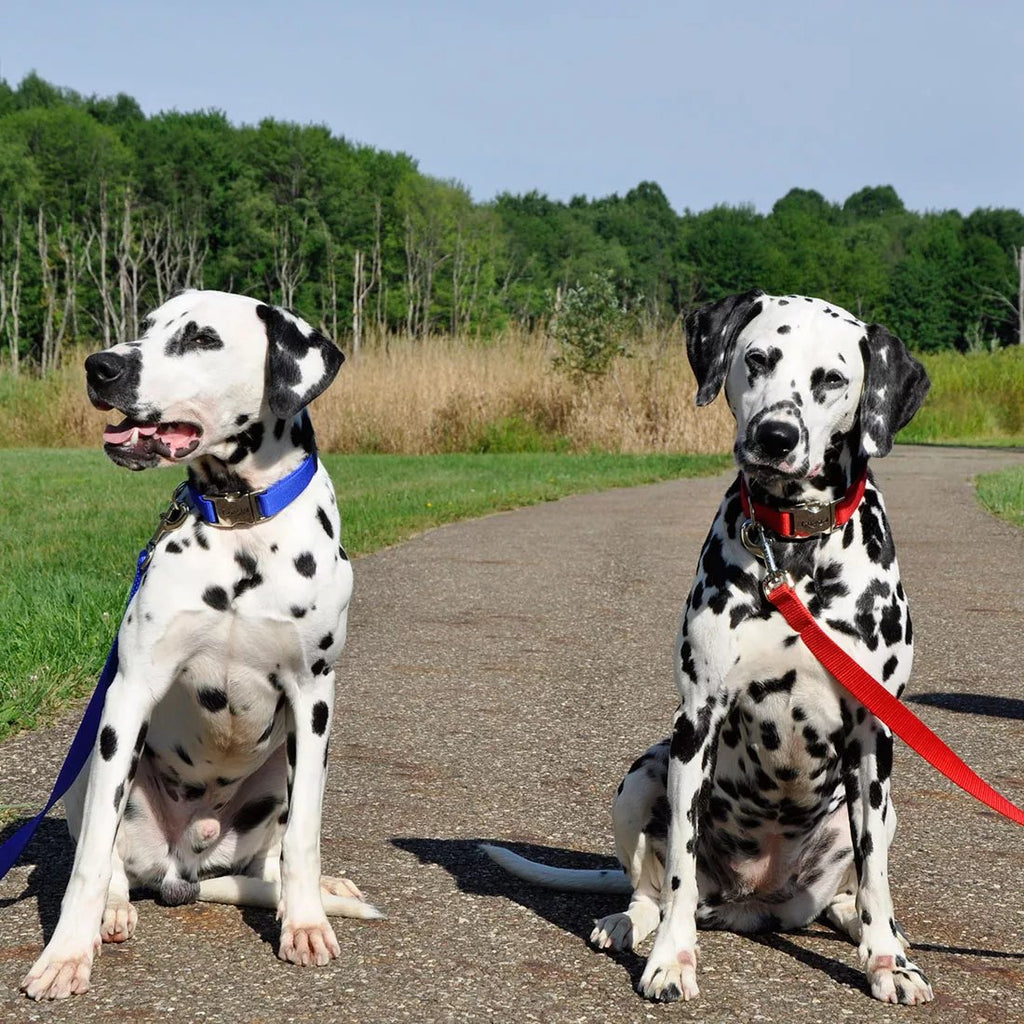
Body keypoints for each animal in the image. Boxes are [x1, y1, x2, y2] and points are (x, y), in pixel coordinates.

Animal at [20, 288, 385, 999]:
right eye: (145, 327)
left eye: (200, 338)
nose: (100, 366)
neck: (240, 526)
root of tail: (180, 871)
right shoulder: (129, 692)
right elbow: (89, 856)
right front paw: (66, 953)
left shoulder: (314, 699)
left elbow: (304, 839)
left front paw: (305, 923)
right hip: (91, 758)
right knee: (107, 856)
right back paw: (112, 910)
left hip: (276, 778)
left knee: (272, 855)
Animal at [483, 292, 933, 1003]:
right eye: (759, 358)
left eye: (833, 379)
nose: (775, 436)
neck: (791, 551)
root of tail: (755, 901)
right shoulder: (695, 721)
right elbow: (679, 869)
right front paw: (671, 959)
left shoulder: (873, 736)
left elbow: (878, 879)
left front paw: (888, 960)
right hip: (642, 775)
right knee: (654, 888)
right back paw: (627, 921)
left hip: (872, 814)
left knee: (851, 885)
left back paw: (856, 925)